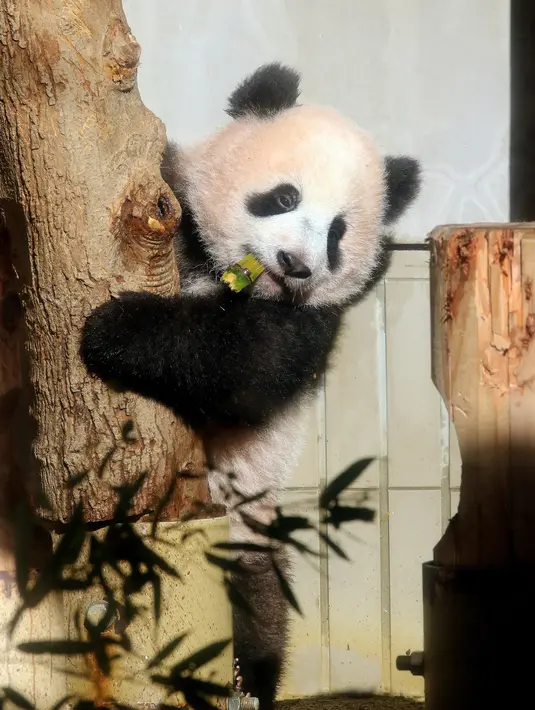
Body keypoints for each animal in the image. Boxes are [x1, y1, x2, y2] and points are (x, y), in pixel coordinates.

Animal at [80, 63, 421, 710]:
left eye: (339, 233)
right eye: (284, 197)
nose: (295, 263)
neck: (228, 275)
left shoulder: (313, 322)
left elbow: (248, 364)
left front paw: (117, 329)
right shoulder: (171, 202)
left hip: (241, 524)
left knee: (257, 599)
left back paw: (245, 678)